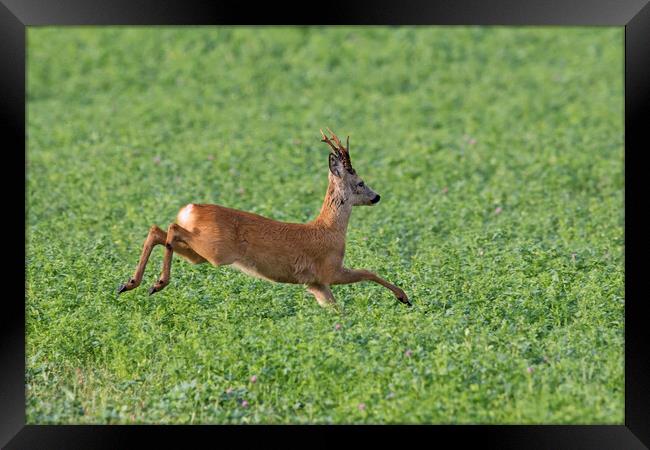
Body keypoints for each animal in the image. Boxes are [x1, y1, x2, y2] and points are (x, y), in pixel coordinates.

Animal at [116, 128, 410, 308]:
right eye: (360, 182)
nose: (376, 197)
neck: (329, 229)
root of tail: (190, 208)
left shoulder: (315, 284)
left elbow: (337, 309)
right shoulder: (329, 270)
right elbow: (368, 271)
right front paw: (404, 297)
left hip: (199, 254)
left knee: (157, 230)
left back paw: (130, 284)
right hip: (215, 250)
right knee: (170, 228)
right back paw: (156, 283)